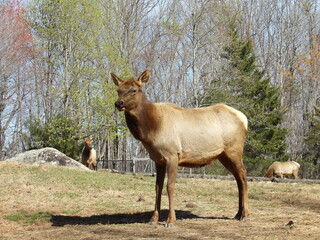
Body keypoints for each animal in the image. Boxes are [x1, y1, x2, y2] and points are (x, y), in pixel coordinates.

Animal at [112, 69, 250, 227]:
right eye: (118, 90)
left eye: (134, 90)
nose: (118, 103)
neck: (151, 130)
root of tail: (244, 119)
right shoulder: (158, 160)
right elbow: (157, 187)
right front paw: (153, 219)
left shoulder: (173, 155)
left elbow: (170, 186)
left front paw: (170, 220)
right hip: (223, 155)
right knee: (238, 179)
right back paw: (238, 213)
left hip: (234, 150)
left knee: (243, 176)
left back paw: (245, 214)